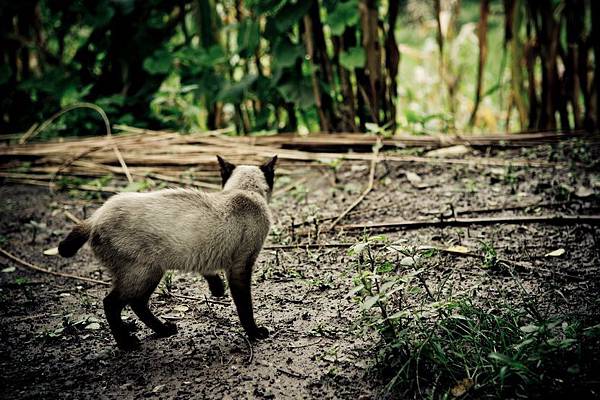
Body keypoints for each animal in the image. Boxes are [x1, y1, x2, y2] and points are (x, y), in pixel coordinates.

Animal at [57, 155, 278, 350]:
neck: (245, 191)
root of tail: (95, 217)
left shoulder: (209, 257)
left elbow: (210, 275)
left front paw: (217, 290)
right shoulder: (241, 266)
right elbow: (245, 308)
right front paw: (255, 333)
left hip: (151, 273)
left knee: (137, 303)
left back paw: (163, 330)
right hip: (143, 274)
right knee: (112, 304)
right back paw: (127, 343)